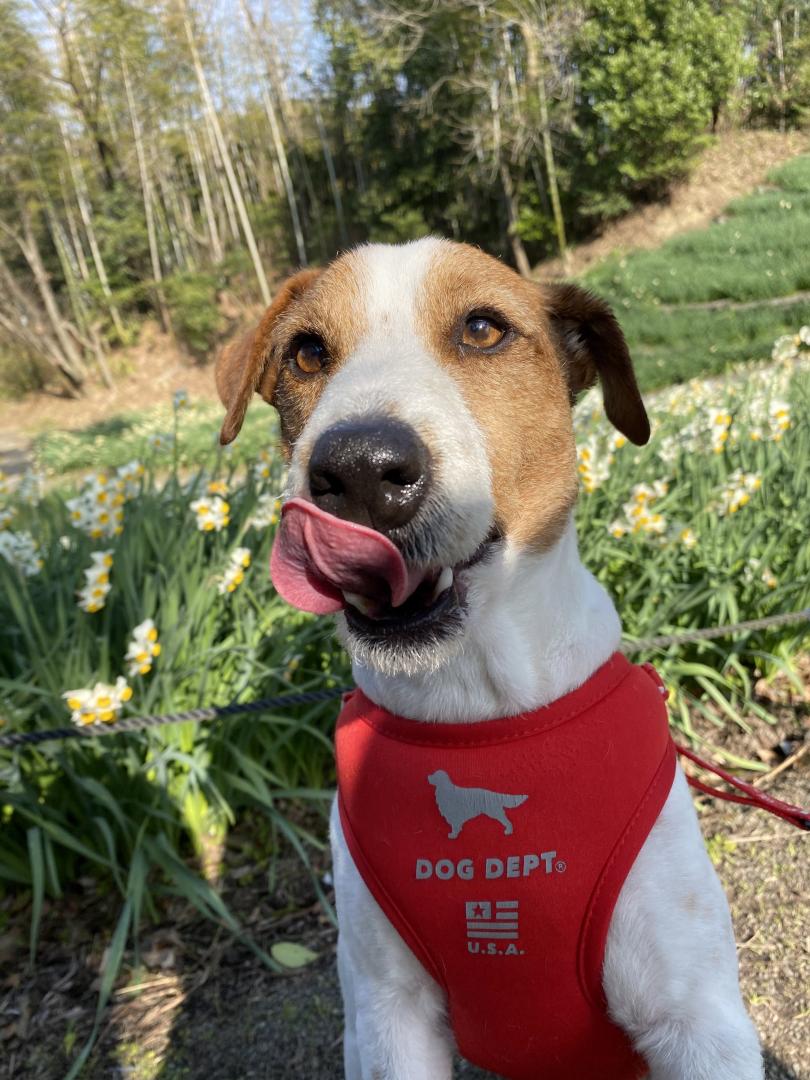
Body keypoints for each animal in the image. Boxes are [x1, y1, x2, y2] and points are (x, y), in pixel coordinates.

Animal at [213, 238, 760, 1080]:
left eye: (482, 329)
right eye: (306, 351)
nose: (360, 468)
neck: (476, 705)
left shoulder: (697, 1020)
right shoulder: (386, 1017)